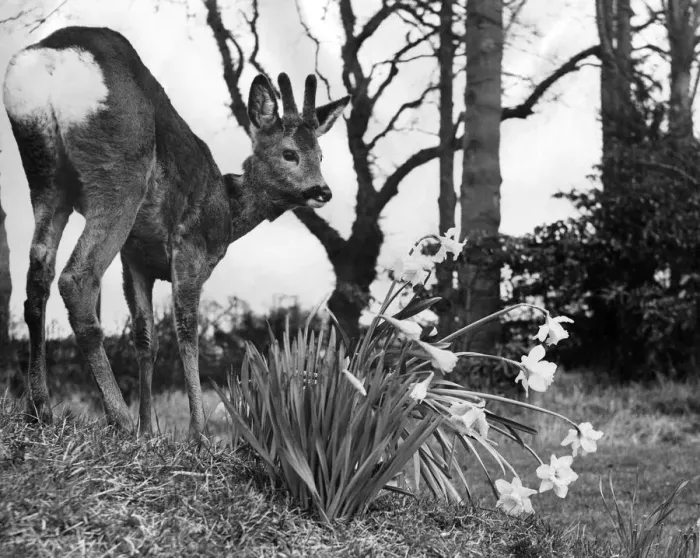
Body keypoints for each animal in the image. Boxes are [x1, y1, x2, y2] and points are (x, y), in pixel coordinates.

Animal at [2, 25, 350, 441]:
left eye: (321, 155)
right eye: (289, 153)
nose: (323, 191)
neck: (228, 211)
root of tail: (54, 54)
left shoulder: (136, 258)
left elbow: (146, 338)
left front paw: (148, 429)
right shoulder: (190, 247)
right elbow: (187, 333)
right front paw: (197, 434)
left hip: (45, 175)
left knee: (38, 273)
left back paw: (40, 409)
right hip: (120, 172)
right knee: (77, 278)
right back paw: (117, 417)